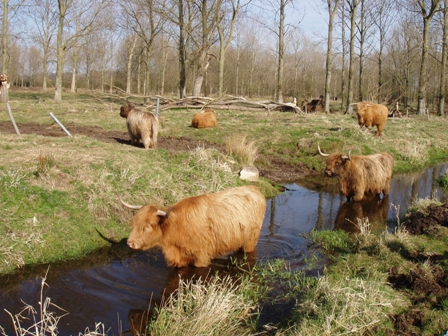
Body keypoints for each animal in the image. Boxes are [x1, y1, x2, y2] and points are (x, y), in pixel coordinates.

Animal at [119, 184, 266, 268]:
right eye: (134, 224)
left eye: (148, 226)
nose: (130, 243)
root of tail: (254, 188)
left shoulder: (202, 257)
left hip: (250, 240)